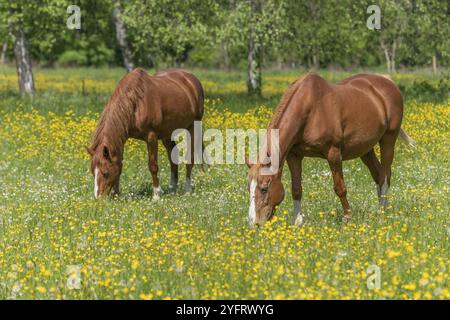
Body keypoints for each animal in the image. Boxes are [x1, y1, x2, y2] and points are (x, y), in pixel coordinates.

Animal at [86, 67, 206, 199]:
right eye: (93, 172)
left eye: (106, 173)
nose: (99, 198)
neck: (136, 103)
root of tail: (191, 79)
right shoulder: (121, 140)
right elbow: (119, 163)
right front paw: (116, 194)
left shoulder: (151, 136)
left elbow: (153, 166)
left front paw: (156, 194)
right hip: (167, 133)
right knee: (172, 159)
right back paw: (172, 189)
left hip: (193, 127)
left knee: (190, 158)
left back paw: (187, 190)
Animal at [246, 74, 414, 226]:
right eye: (249, 188)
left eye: (264, 189)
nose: (254, 223)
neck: (310, 109)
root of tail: (389, 82)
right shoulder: (294, 155)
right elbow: (296, 189)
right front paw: (297, 221)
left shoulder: (333, 154)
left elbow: (340, 188)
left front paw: (347, 217)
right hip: (365, 149)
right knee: (378, 174)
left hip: (388, 139)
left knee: (385, 175)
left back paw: (381, 213)